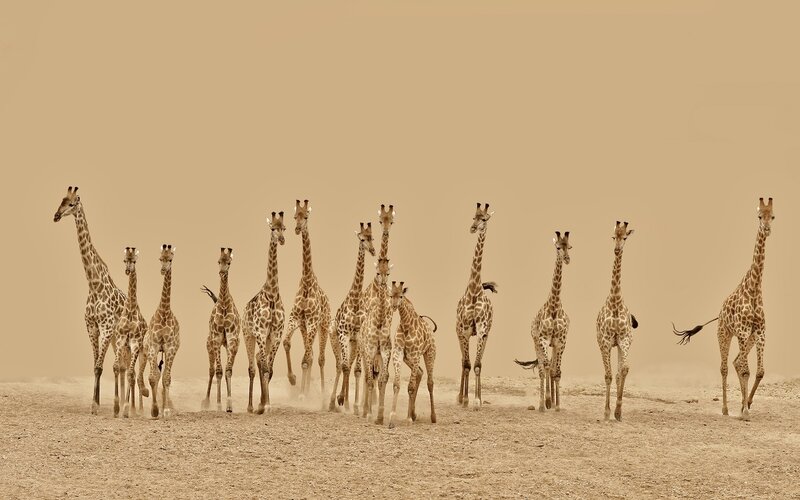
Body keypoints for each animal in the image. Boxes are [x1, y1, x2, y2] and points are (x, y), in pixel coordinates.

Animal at [53, 186, 126, 415]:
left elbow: (99, 366)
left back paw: (121, 405)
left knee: (121, 365)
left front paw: (96, 405)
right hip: (114, 336)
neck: (94, 284)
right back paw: (121, 403)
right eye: (60, 201)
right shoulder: (92, 326)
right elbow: (95, 365)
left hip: (118, 335)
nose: (56, 216)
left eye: (72, 203)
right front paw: (95, 403)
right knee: (120, 365)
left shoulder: (105, 326)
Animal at [388, 281, 437, 429]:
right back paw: (414, 414)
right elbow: (397, 384)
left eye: (401, 296)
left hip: (429, 353)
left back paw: (433, 417)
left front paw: (408, 419)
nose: (394, 306)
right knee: (420, 372)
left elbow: (411, 386)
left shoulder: (415, 354)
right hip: (407, 358)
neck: (406, 325)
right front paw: (392, 419)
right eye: (391, 295)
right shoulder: (398, 353)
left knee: (430, 382)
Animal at [515, 232, 572, 412]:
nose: (567, 259)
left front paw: (557, 406)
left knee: (552, 369)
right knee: (542, 369)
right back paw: (542, 404)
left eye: (569, 246)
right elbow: (546, 367)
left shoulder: (561, 341)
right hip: (537, 343)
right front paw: (546, 401)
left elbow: (556, 371)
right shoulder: (543, 339)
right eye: (558, 247)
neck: (554, 307)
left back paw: (552, 402)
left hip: (553, 345)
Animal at [673, 197, 775, 421]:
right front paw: (744, 411)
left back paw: (740, 405)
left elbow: (759, 371)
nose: (767, 229)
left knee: (737, 363)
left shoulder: (760, 332)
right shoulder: (743, 331)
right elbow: (745, 370)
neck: (754, 289)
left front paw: (748, 405)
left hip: (747, 338)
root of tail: (718, 315)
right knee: (726, 367)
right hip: (724, 334)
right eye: (758, 216)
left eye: (773, 216)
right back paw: (726, 409)